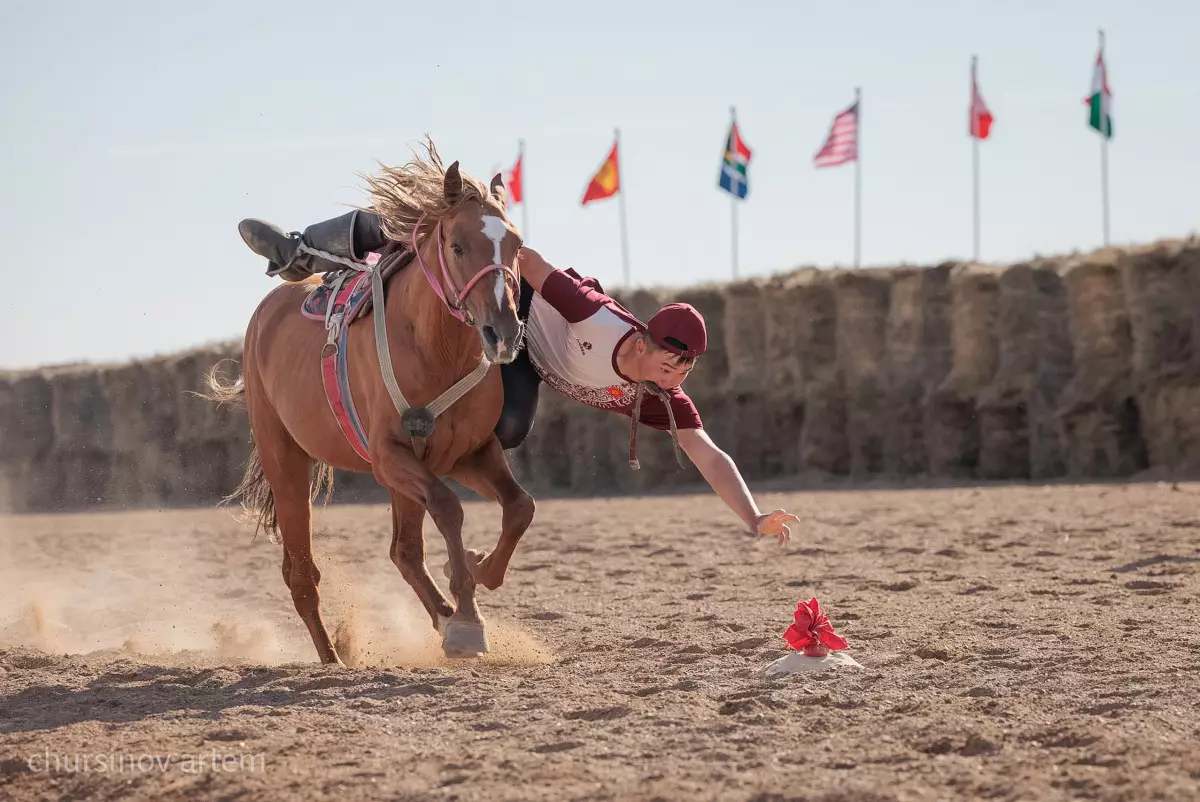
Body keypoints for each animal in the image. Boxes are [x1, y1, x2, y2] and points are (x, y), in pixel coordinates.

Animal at [206, 142, 535, 662]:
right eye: (459, 246)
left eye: (517, 247)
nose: (502, 332)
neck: (433, 346)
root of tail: (264, 315)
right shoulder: (388, 456)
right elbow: (449, 508)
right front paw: (467, 615)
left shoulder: (468, 452)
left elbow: (520, 506)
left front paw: (479, 571)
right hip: (286, 460)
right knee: (302, 573)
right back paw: (333, 657)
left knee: (404, 551)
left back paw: (439, 617)